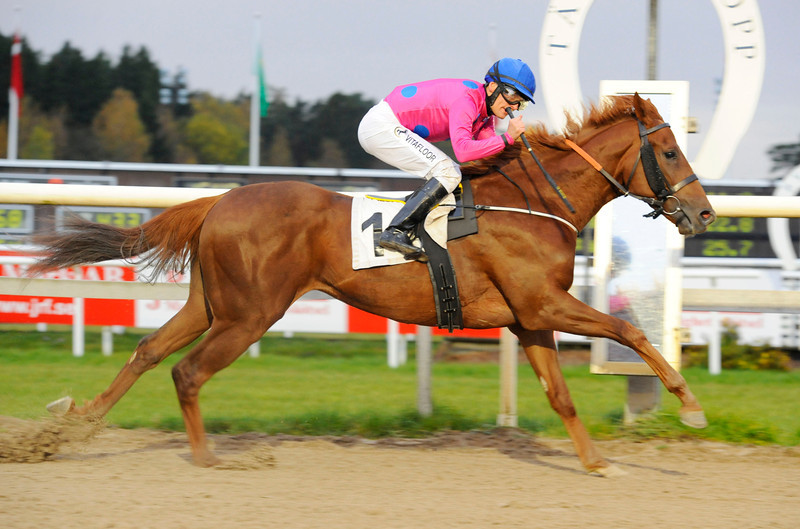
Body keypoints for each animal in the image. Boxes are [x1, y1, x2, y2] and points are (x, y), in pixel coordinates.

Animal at [32, 95, 720, 474]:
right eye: (672, 153)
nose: (705, 214)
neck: (535, 201)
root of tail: (219, 202)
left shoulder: (529, 318)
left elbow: (562, 395)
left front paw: (598, 463)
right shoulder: (546, 304)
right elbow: (629, 329)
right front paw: (689, 404)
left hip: (212, 305)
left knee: (149, 350)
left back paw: (73, 425)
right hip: (250, 315)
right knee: (187, 371)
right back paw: (204, 457)